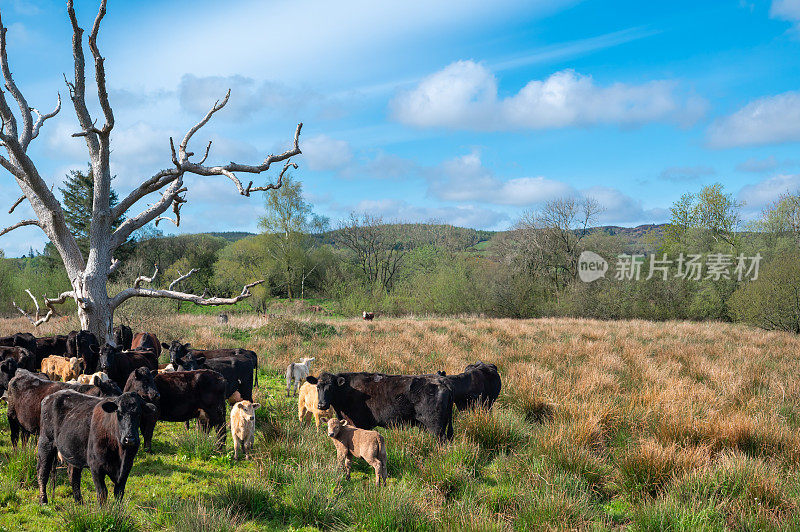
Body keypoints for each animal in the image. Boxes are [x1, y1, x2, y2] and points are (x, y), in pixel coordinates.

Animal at [308, 370, 456, 440]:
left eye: (331, 388)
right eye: (318, 387)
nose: (321, 405)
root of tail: (442, 380)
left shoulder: (359, 423)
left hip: (435, 426)